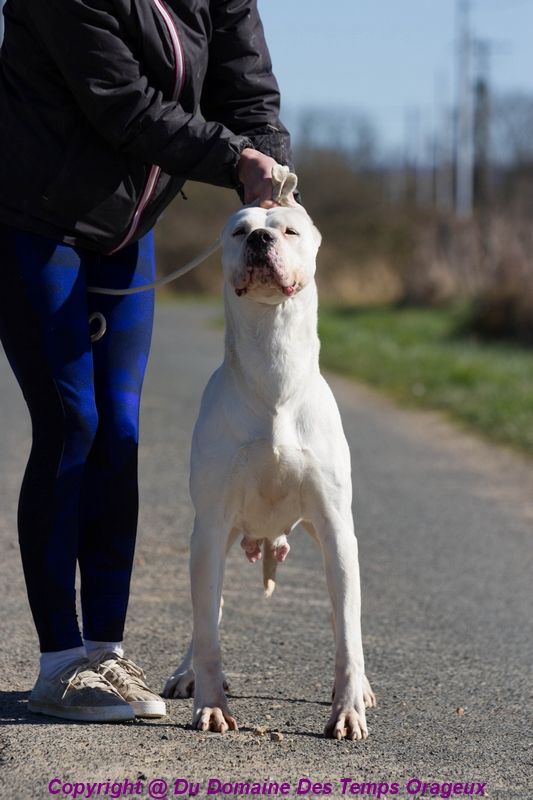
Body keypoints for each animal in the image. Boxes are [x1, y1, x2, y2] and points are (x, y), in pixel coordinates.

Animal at [162, 203, 374, 740]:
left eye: (290, 229)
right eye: (239, 231)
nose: (260, 239)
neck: (273, 367)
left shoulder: (336, 529)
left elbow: (348, 633)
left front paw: (347, 709)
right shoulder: (210, 527)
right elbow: (208, 633)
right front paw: (211, 706)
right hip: (212, 542)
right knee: (206, 618)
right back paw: (186, 674)